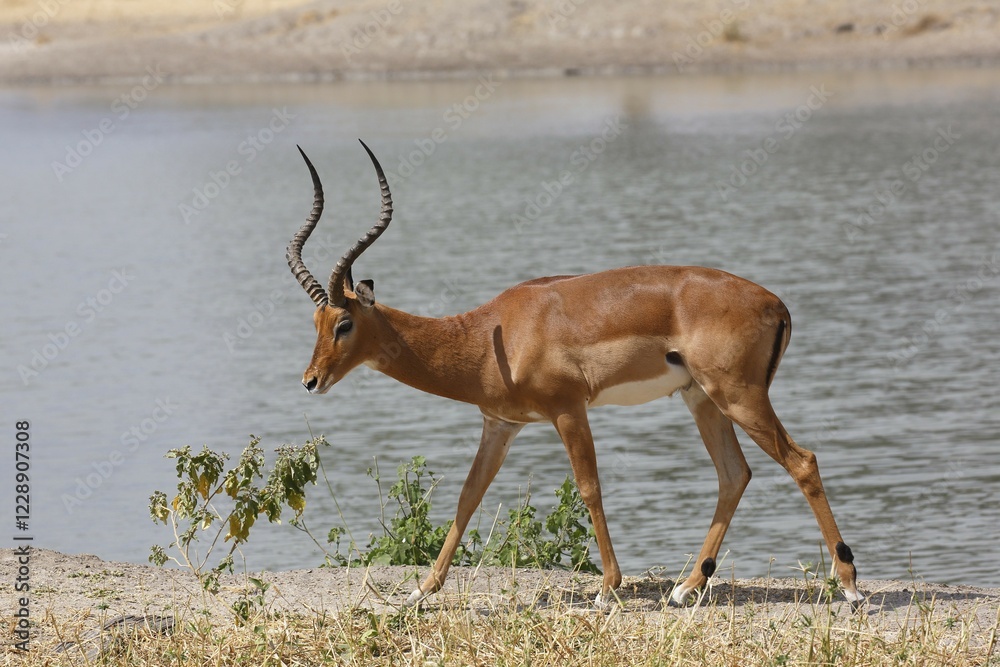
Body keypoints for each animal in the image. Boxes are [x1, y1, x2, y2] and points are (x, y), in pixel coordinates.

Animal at [287, 140, 864, 608]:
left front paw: (608, 588)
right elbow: (468, 496)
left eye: (343, 323)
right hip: (703, 399)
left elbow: (589, 487)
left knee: (802, 462)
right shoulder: (501, 423)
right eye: (314, 322)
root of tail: (775, 303)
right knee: (734, 474)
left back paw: (850, 587)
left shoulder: (568, 409)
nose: (310, 381)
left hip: (739, 396)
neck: (489, 336)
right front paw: (419, 591)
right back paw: (685, 588)